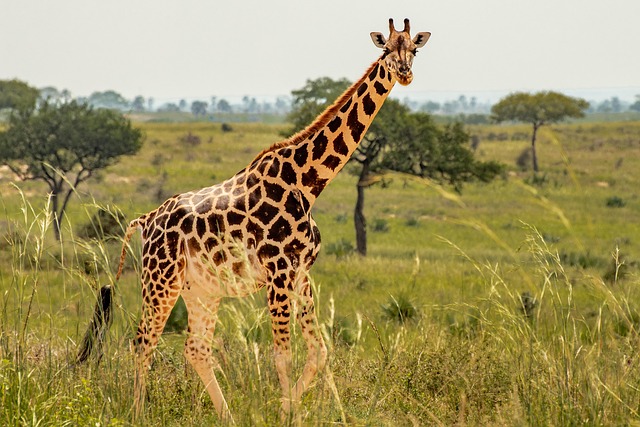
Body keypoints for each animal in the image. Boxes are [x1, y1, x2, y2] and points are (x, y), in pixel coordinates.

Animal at [77, 18, 430, 422]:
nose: (404, 73)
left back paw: (227, 416)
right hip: (160, 280)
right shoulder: (278, 270)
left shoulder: (301, 272)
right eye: (385, 50)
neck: (308, 182)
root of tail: (145, 220)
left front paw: (319, 412)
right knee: (142, 342)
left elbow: (320, 351)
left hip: (200, 290)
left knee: (196, 348)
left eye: (414, 50)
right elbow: (283, 355)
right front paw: (287, 415)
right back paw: (138, 414)